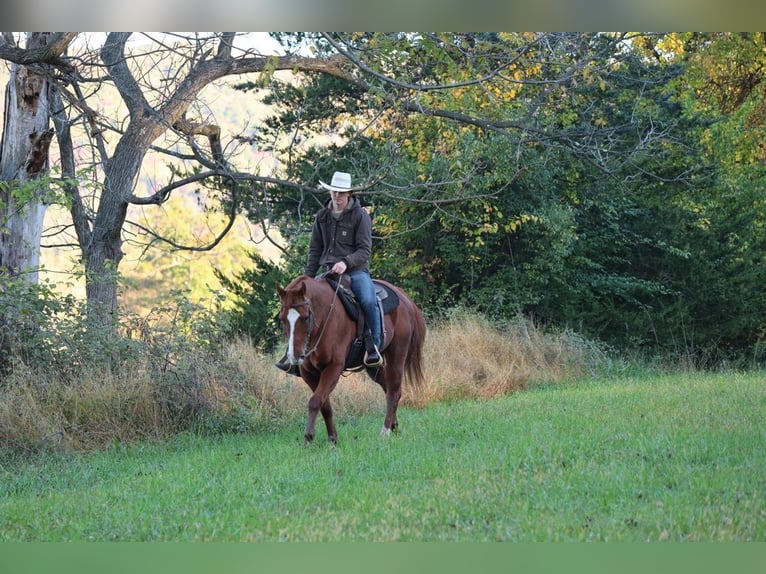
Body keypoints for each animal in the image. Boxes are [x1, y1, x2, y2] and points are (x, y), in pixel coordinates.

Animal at [276, 273, 426, 445]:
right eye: (282, 319)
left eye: (305, 317)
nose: (294, 356)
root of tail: (405, 299)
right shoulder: (309, 373)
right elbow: (324, 404)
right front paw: (333, 438)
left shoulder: (333, 367)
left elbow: (315, 401)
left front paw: (308, 438)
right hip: (373, 366)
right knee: (388, 388)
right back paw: (394, 426)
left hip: (397, 355)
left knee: (394, 392)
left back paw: (385, 430)